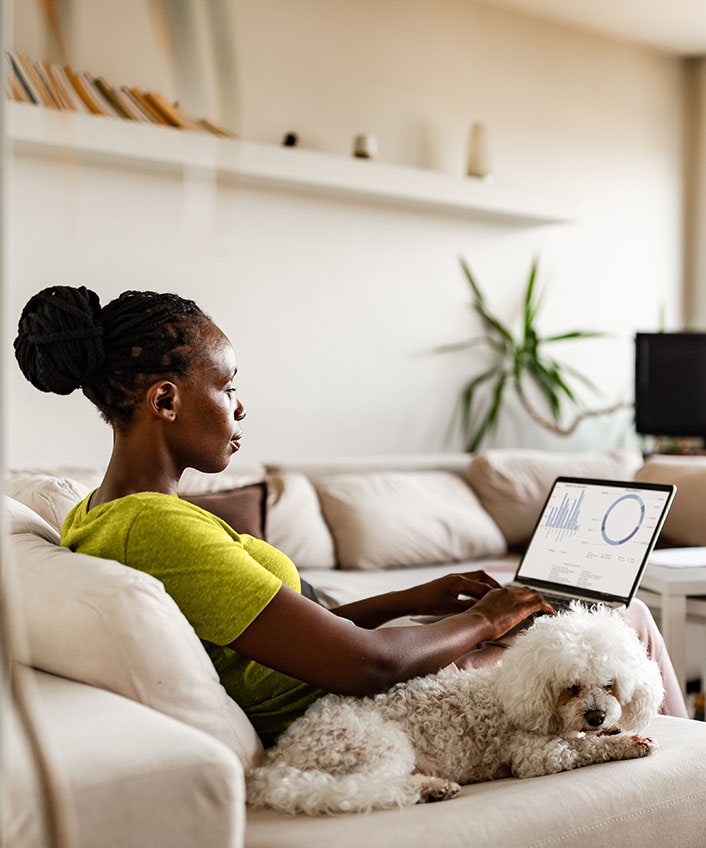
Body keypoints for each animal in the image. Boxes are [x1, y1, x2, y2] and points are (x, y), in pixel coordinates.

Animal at [246, 604, 660, 816]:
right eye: (570, 687)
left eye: (609, 684)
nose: (596, 716)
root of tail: (278, 760)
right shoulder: (534, 754)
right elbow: (583, 748)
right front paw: (626, 742)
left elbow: (588, 738)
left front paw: (613, 730)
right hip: (377, 745)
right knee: (365, 787)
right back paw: (433, 788)